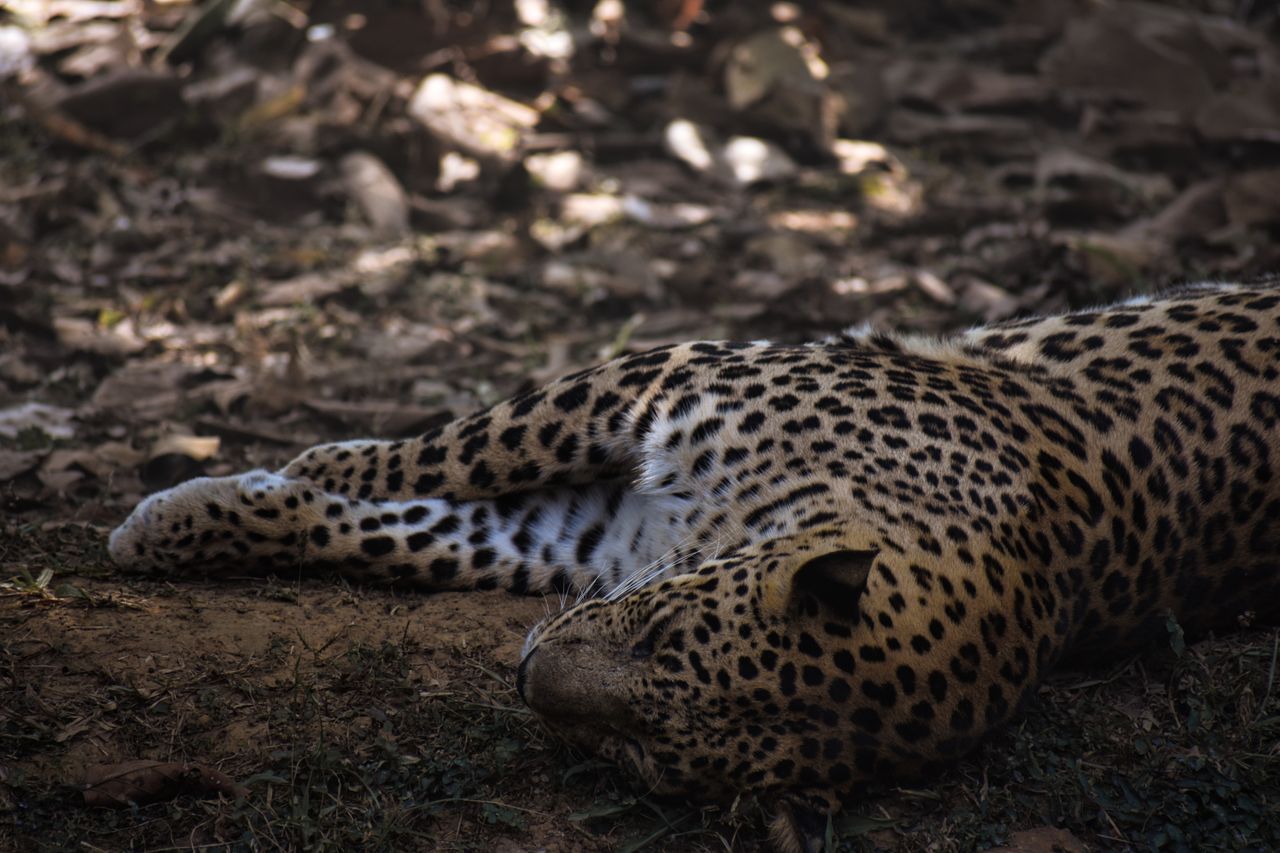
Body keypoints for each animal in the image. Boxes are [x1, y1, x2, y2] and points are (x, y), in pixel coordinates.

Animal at [109, 281, 1280, 852]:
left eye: (647, 759)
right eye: (659, 637)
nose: (524, 681)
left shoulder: (582, 531)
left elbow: (407, 528)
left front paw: (201, 512)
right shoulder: (647, 377)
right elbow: (437, 456)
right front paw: (201, 510)